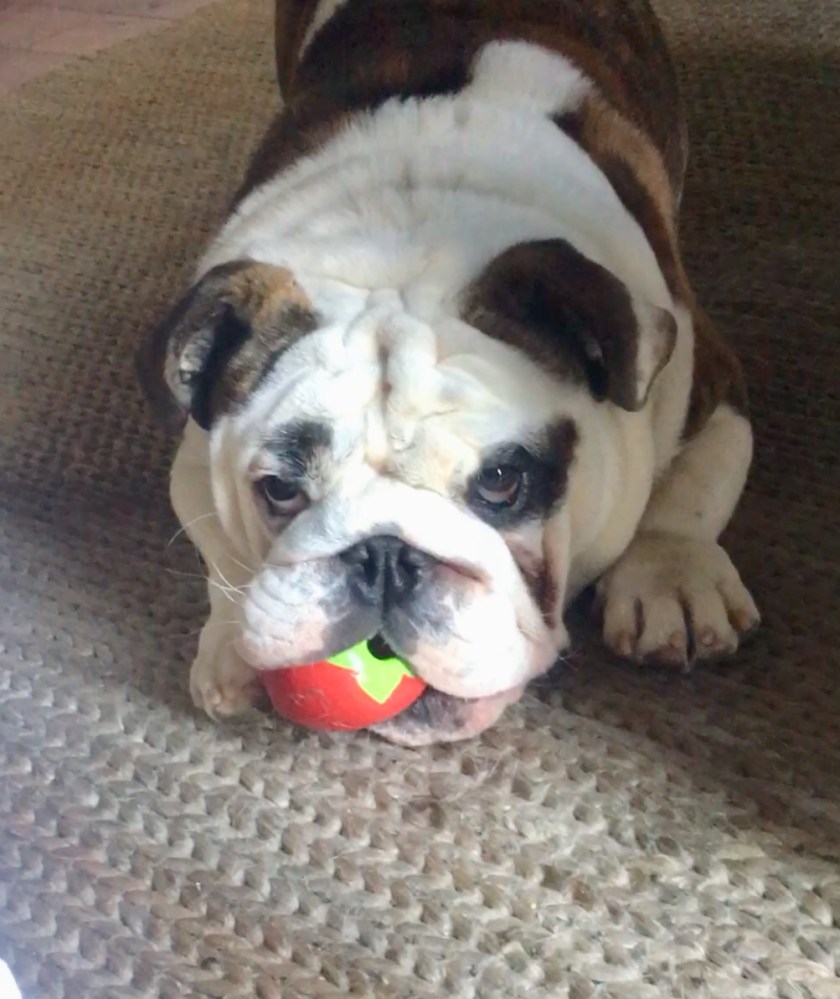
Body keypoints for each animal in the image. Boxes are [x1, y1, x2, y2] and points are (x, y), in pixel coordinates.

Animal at [137, 0, 760, 746]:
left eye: (503, 481)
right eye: (279, 490)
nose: (382, 554)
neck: (403, 236)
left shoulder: (702, 375)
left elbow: (695, 485)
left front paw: (671, 576)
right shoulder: (193, 455)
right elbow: (218, 543)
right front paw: (232, 644)